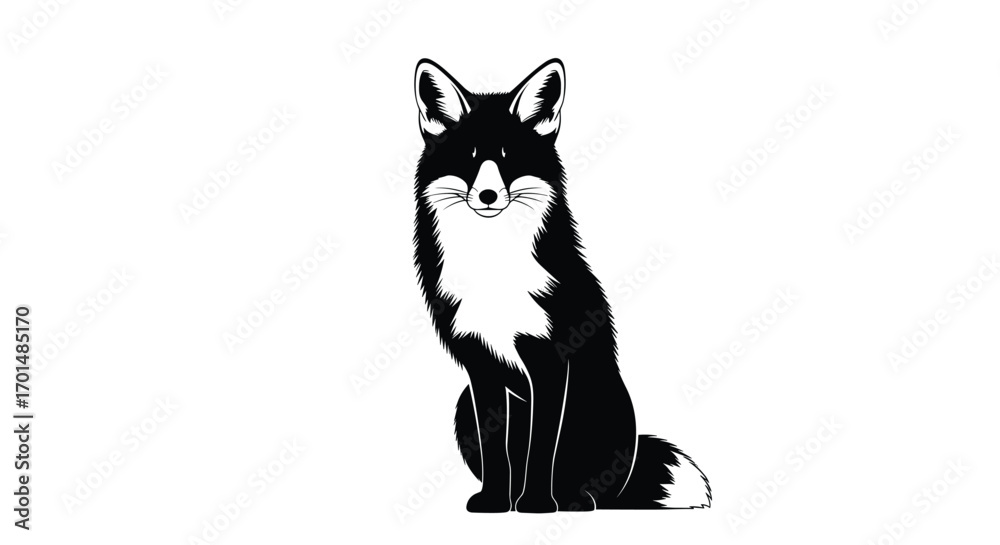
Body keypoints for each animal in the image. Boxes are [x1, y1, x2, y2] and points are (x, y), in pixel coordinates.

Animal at [411, 58, 711, 513]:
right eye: (469, 158)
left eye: (510, 158)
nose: (487, 195)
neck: (493, 263)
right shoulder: (481, 366)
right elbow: (497, 448)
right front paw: (496, 500)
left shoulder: (550, 359)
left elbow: (542, 446)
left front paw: (536, 502)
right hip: (464, 403)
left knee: (593, 486)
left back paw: (573, 500)